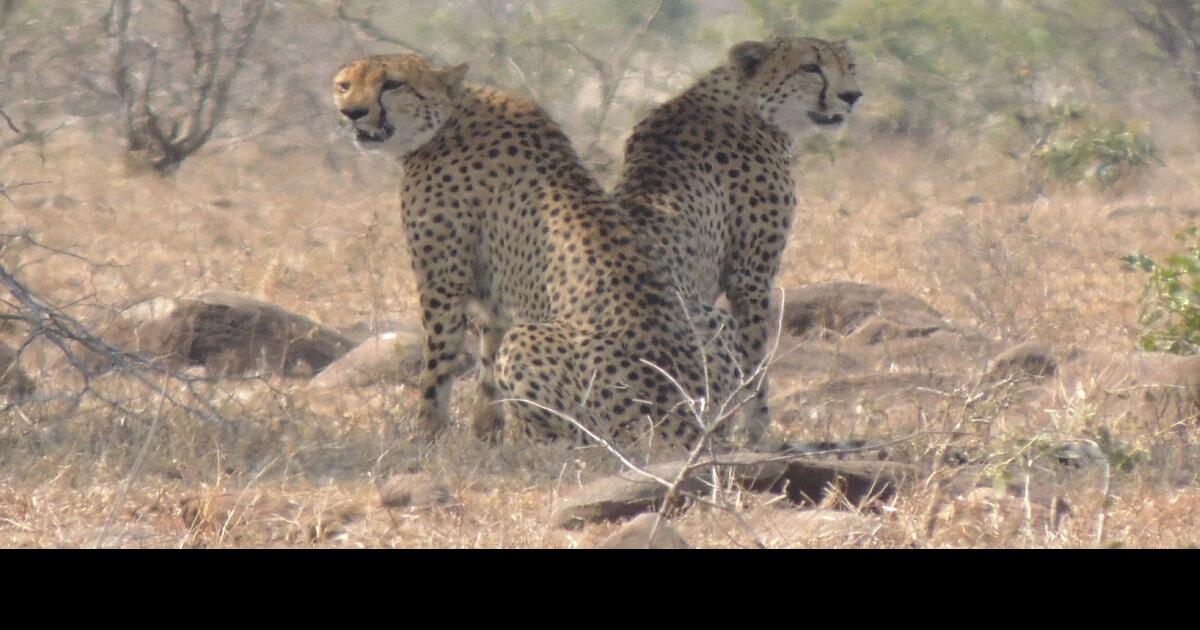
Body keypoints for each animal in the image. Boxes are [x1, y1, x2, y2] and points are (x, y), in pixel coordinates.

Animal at [332, 53, 749, 450]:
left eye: (392, 84)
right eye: (344, 85)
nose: (352, 112)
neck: (450, 118)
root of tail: (686, 422)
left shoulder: (442, 287)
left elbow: (436, 371)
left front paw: (425, 437)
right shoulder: (495, 301)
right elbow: (487, 370)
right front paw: (485, 436)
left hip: (537, 347)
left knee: (593, 439)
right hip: (714, 320)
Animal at [612, 37, 862, 446]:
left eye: (850, 66)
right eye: (810, 67)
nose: (853, 96)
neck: (748, 102)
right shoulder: (750, 277)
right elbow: (756, 361)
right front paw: (760, 428)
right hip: (710, 326)